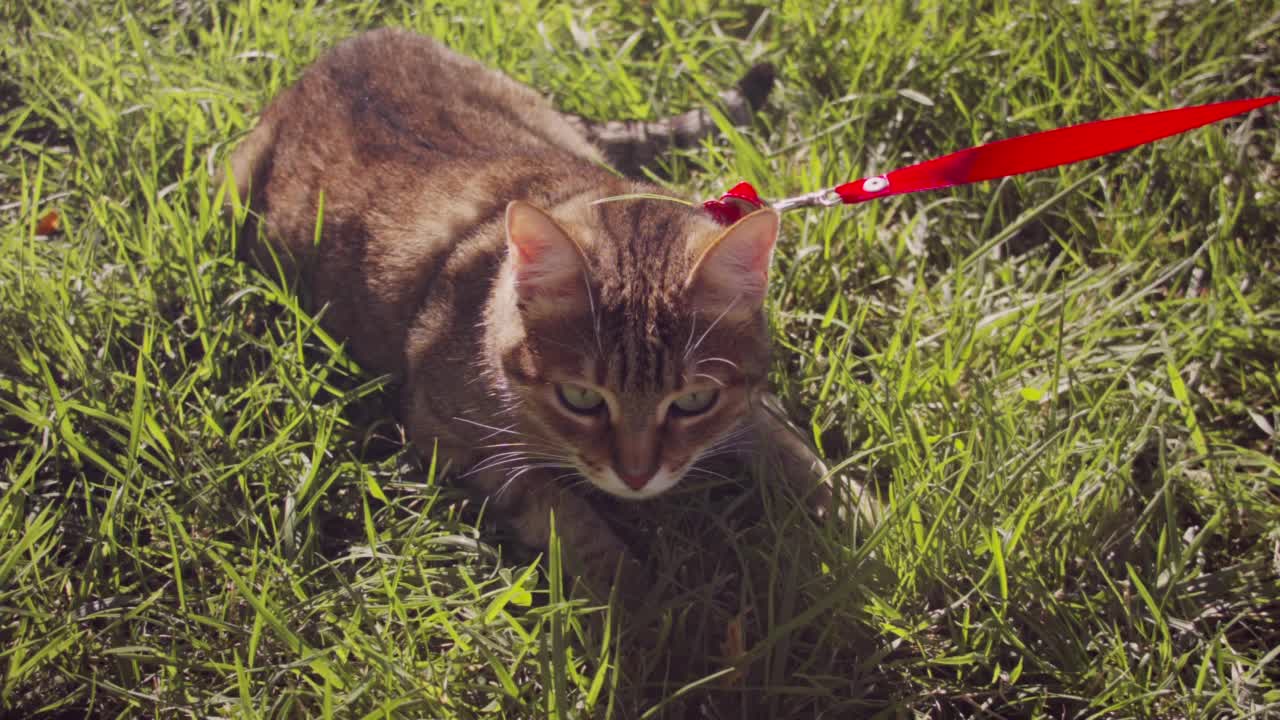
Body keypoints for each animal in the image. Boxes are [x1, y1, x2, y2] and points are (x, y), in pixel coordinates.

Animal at [225, 26, 834, 589]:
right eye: (581, 399)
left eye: (693, 401)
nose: (636, 477)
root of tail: (342, 48)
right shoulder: (454, 440)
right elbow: (571, 522)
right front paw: (640, 610)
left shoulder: (749, 401)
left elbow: (798, 452)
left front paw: (851, 520)